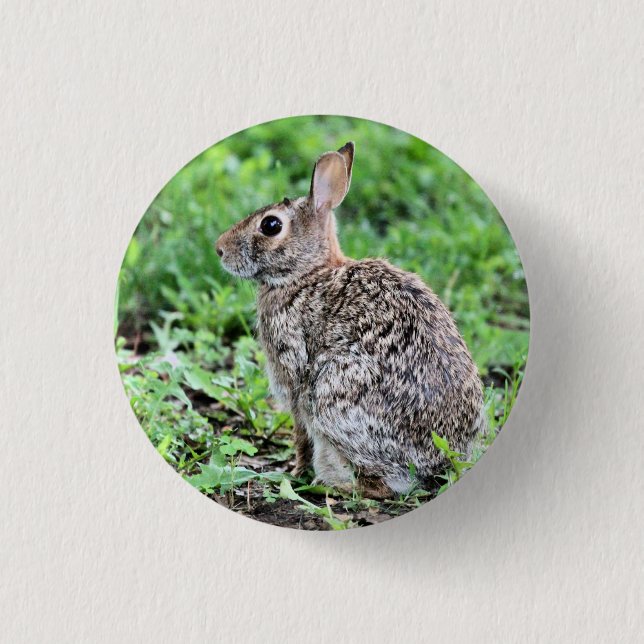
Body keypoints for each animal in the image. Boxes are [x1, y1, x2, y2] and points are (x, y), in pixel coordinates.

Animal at [215, 142, 486, 498]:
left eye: (271, 226)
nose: (219, 249)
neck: (306, 273)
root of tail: (440, 458)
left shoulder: (295, 379)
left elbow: (300, 434)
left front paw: (295, 471)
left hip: (334, 393)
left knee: (378, 484)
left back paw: (332, 484)